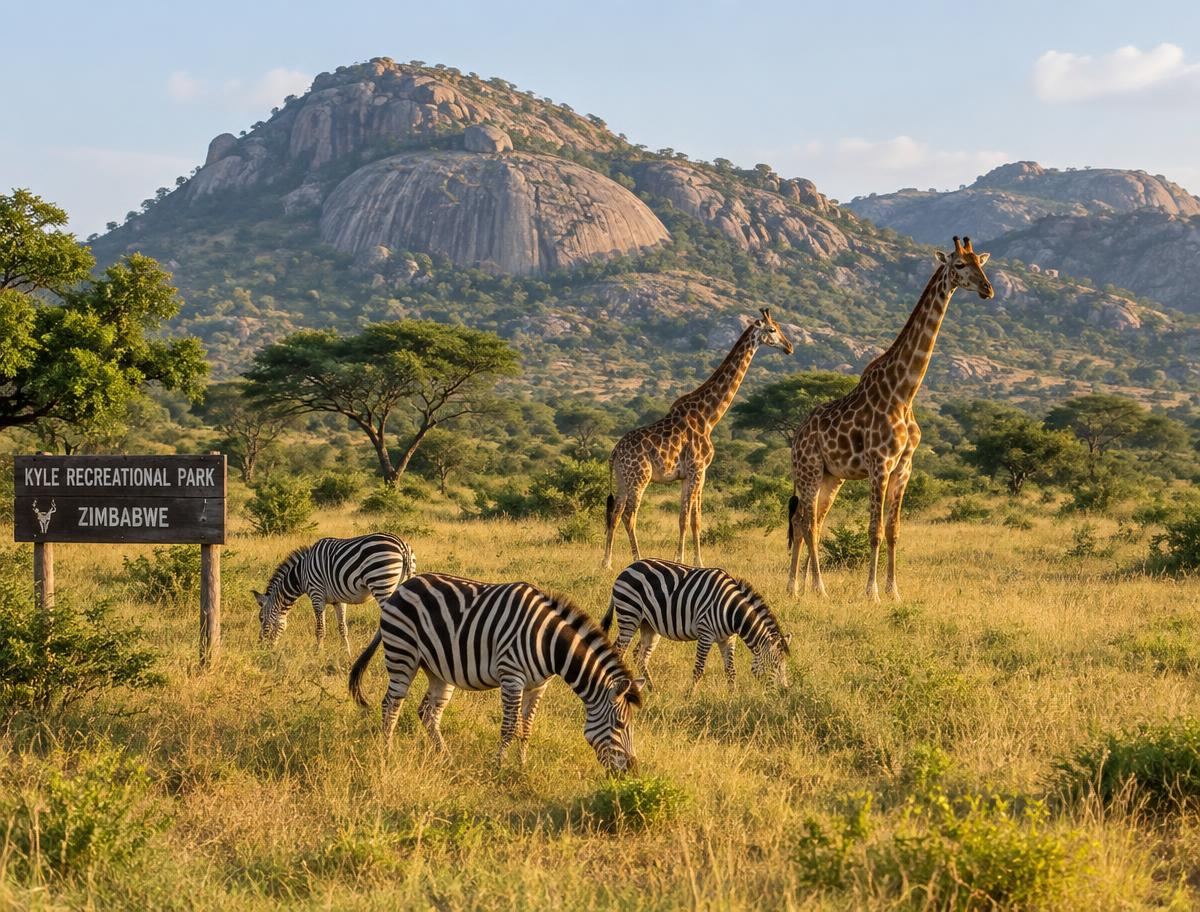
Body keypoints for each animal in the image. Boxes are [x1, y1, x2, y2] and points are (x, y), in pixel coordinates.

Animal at [255, 532, 416, 651]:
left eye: (261, 618)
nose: (260, 646)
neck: (301, 575)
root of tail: (402, 545)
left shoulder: (317, 595)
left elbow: (320, 628)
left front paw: (318, 652)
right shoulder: (338, 600)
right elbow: (342, 628)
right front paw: (347, 652)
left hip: (382, 582)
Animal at [350, 572, 645, 774]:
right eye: (620, 725)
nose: (632, 768)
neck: (549, 643)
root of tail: (403, 586)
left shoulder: (538, 685)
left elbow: (526, 728)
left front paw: (522, 766)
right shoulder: (511, 675)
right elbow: (509, 727)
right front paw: (499, 767)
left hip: (437, 669)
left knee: (427, 713)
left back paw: (446, 758)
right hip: (402, 653)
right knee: (391, 704)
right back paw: (387, 754)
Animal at [602, 558, 791, 694]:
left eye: (784, 666)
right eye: (775, 666)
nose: (784, 693)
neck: (732, 612)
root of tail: (628, 568)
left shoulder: (728, 639)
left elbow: (731, 670)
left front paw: (733, 696)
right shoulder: (705, 633)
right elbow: (699, 669)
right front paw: (690, 696)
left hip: (648, 625)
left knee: (640, 655)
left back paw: (652, 688)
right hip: (629, 615)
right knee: (619, 650)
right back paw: (618, 687)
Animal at [603, 309, 794, 570]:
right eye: (773, 329)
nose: (789, 347)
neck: (709, 417)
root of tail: (614, 452)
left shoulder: (694, 474)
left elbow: (695, 519)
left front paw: (698, 560)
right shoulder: (697, 469)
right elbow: (685, 518)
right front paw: (680, 560)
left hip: (623, 479)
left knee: (615, 514)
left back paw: (606, 563)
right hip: (640, 477)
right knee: (630, 515)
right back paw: (637, 557)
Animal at [787, 236, 993, 601]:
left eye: (980, 264)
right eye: (959, 264)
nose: (988, 289)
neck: (904, 392)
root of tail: (796, 436)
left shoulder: (904, 466)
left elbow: (894, 530)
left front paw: (894, 591)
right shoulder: (879, 464)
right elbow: (875, 530)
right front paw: (872, 592)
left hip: (831, 477)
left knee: (806, 522)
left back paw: (797, 587)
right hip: (809, 470)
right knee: (807, 523)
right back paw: (817, 588)